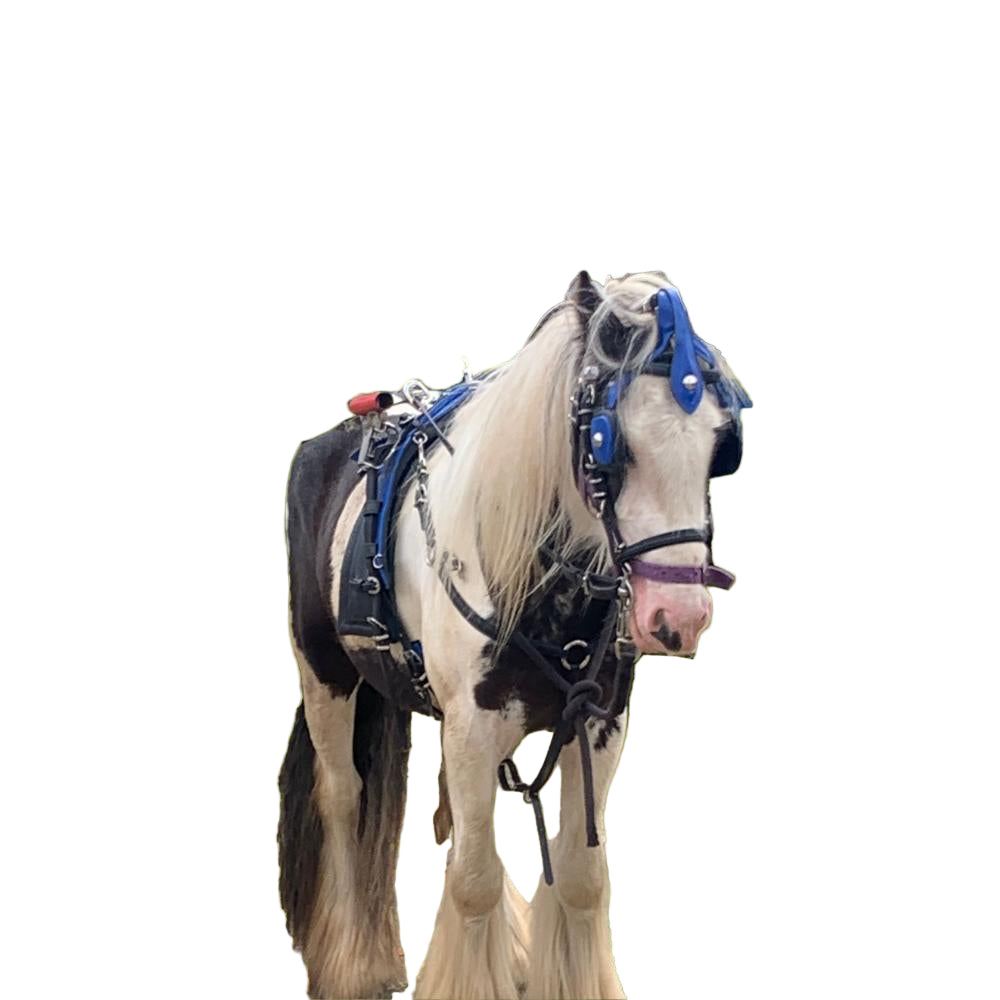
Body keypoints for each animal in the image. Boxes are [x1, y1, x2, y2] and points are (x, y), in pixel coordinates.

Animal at [278, 270, 752, 999]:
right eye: (608, 444)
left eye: (721, 445)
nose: (679, 616)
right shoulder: (472, 726)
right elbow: (474, 880)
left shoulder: (599, 723)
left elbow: (580, 878)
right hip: (323, 666)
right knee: (345, 795)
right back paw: (356, 966)